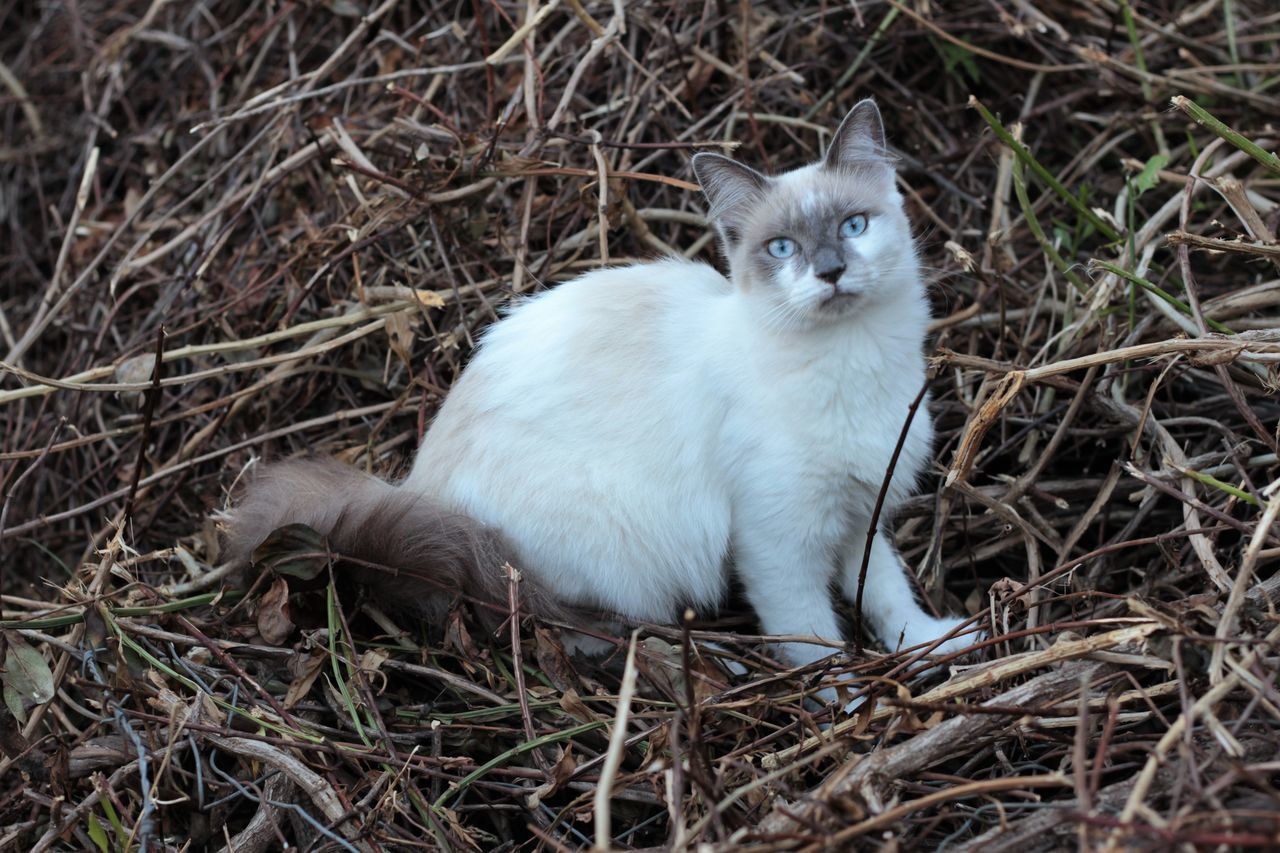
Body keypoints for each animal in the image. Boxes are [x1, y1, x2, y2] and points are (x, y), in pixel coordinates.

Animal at [225, 96, 972, 691]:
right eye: (783, 248)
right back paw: (708, 665)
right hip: (613, 551)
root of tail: (415, 489)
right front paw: (846, 700)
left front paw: (931, 643)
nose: (831, 271)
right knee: (578, 631)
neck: (850, 365)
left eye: (853, 225)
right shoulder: (778, 542)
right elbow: (815, 639)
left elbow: (885, 593)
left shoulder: (861, 510)